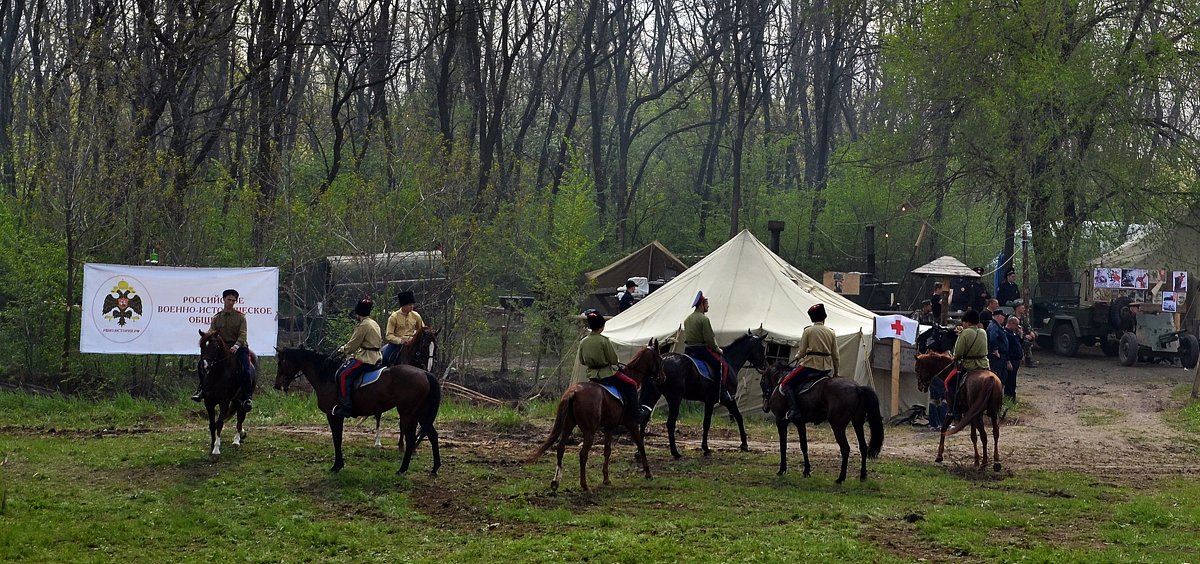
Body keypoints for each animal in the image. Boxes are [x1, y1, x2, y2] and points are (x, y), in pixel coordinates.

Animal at [274, 348, 444, 475]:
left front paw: (337, 466)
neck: (327, 375)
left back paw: (402, 469)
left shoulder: (333, 415)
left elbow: (337, 439)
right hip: (421, 413)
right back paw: (434, 469)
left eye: (281, 362)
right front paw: (339, 465)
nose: (277, 385)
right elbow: (338, 438)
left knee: (411, 439)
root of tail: (425, 373)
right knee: (433, 435)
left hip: (408, 415)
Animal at [532, 338, 672, 494]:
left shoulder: (609, 427)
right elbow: (641, 445)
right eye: (660, 359)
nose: (663, 377)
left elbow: (607, 450)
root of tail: (574, 392)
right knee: (583, 454)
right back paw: (584, 485)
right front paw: (648, 473)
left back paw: (556, 482)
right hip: (589, 430)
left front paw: (606, 478)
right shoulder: (632, 423)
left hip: (568, 425)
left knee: (560, 448)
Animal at [638, 331, 768, 458]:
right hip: (674, 398)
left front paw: (706, 448)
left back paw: (640, 453)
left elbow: (707, 423)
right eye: (762, 348)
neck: (730, 361)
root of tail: (661, 359)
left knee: (644, 418)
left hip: (653, 395)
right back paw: (675, 452)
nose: (765, 366)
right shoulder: (727, 399)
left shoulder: (710, 401)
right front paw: (743, 444)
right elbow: (735, 418)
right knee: (670, 423)